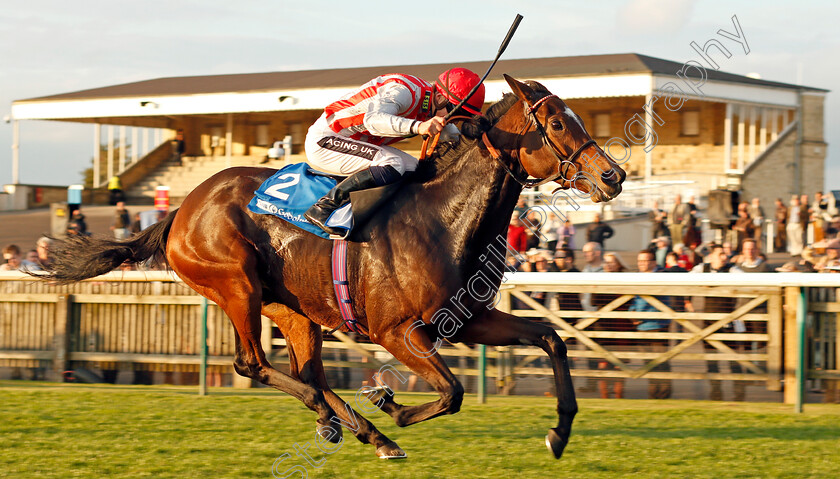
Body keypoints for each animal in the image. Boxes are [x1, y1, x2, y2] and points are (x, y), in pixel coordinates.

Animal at [42, 75, 628, 462]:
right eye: (557, 122)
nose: (614, 175)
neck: (443, 218)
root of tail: (180, 210)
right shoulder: (397, 332)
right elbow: (453, 392)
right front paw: (389, 403)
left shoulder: (467, 320)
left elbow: (551, 338)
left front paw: (559, 433)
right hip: (236, 284)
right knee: (253, 364)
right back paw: (355, 424)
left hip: (292, 309)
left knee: (309, 374)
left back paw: (358, 428)